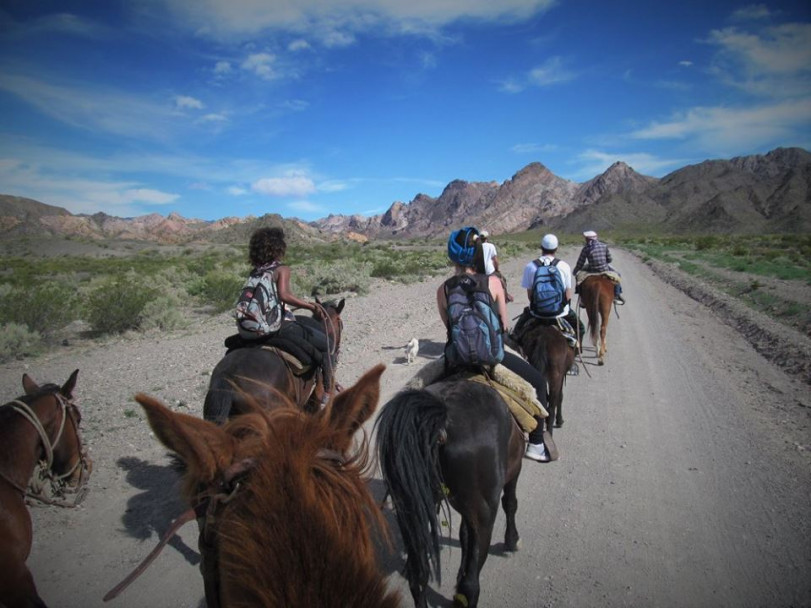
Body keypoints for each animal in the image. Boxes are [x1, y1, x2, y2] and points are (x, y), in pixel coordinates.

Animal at [376, 378, 524, 604]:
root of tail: (442, 422)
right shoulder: (515, 470)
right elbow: (510, 503)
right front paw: (511, 540)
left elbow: (464, 533)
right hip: (484, 512)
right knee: (470, 586)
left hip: (409, 510)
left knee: (418, 576)